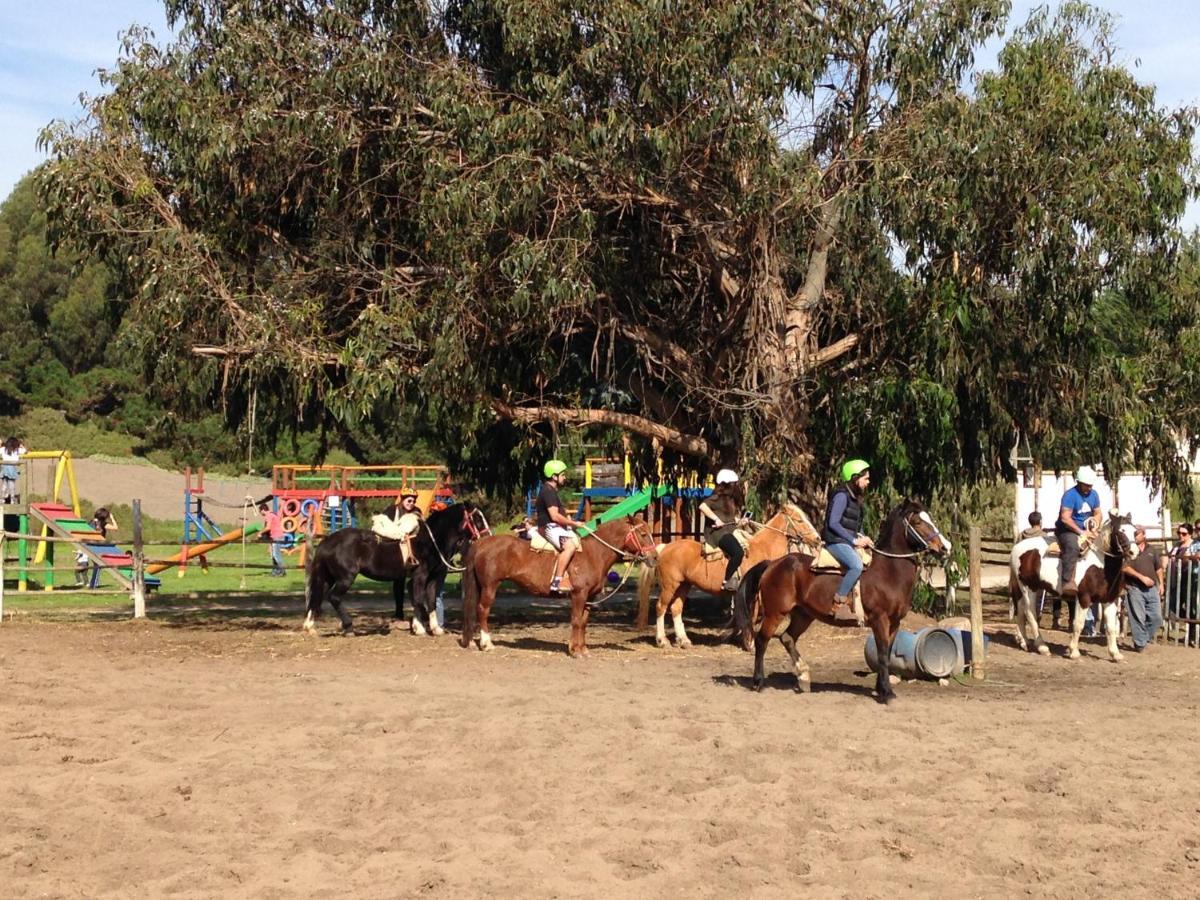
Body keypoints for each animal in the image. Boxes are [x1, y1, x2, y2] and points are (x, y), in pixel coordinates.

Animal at [300, 504, 487, 638]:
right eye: (477, 518)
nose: (486, 537)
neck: (431, 540)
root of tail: (327, 541)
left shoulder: (433, 578)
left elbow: (430, 601)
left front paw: (435, 629)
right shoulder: (420, 576)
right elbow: (419, 600)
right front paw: (420, 628)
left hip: (328, 577)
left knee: (317, 597)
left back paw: (310, 627)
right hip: (345, 578)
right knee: (334, 597)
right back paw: (349, 627)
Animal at [458, 518, 662, 657]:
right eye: (643, 534)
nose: (654, 557)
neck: (594, 553)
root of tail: (481, 543)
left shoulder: (589, 597)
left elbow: (583, 623)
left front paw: (583, 648)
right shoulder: (579, 595)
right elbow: (576, 621)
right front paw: (575, 650)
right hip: (490, 586)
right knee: (483, 610)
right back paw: (486, 644)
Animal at [633, 504, 820, 652]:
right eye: (799, 520)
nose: (818, 539)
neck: (762, 549)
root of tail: (664, 548)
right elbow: (752, 616)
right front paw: (749, 643)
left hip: (683, 585)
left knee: (676, 608)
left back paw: (683, 640)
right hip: (669, 585)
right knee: (661, 607)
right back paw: (662, 640)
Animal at [724, 501, 950, 705]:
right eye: (918, 521)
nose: (945, 547)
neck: (888, 571)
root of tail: (773, 564)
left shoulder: (895, 623)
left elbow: (885, 653)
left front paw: (881, 688)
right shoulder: (880, 620)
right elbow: (883, 654)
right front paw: (886, 693)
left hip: (803, 615)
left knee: (787, 638)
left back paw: (804, 677)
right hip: (775, 613)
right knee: (762, 641)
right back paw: (758, 682)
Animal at [1012, 513, 1132, 662]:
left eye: (1135, 531)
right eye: (1121, 531)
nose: (1134, 551)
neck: (1100, 564)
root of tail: (1017, 547)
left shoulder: (1109, 600)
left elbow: (1110, 627)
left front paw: (1115, 654)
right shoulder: (1083, 598)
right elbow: (1078, 624)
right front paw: (1074, 651)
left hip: (1028, 588)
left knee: (1020, 610)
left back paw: (1024, 642)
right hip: (1029, 587)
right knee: (1030, 613)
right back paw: (1042, 647)